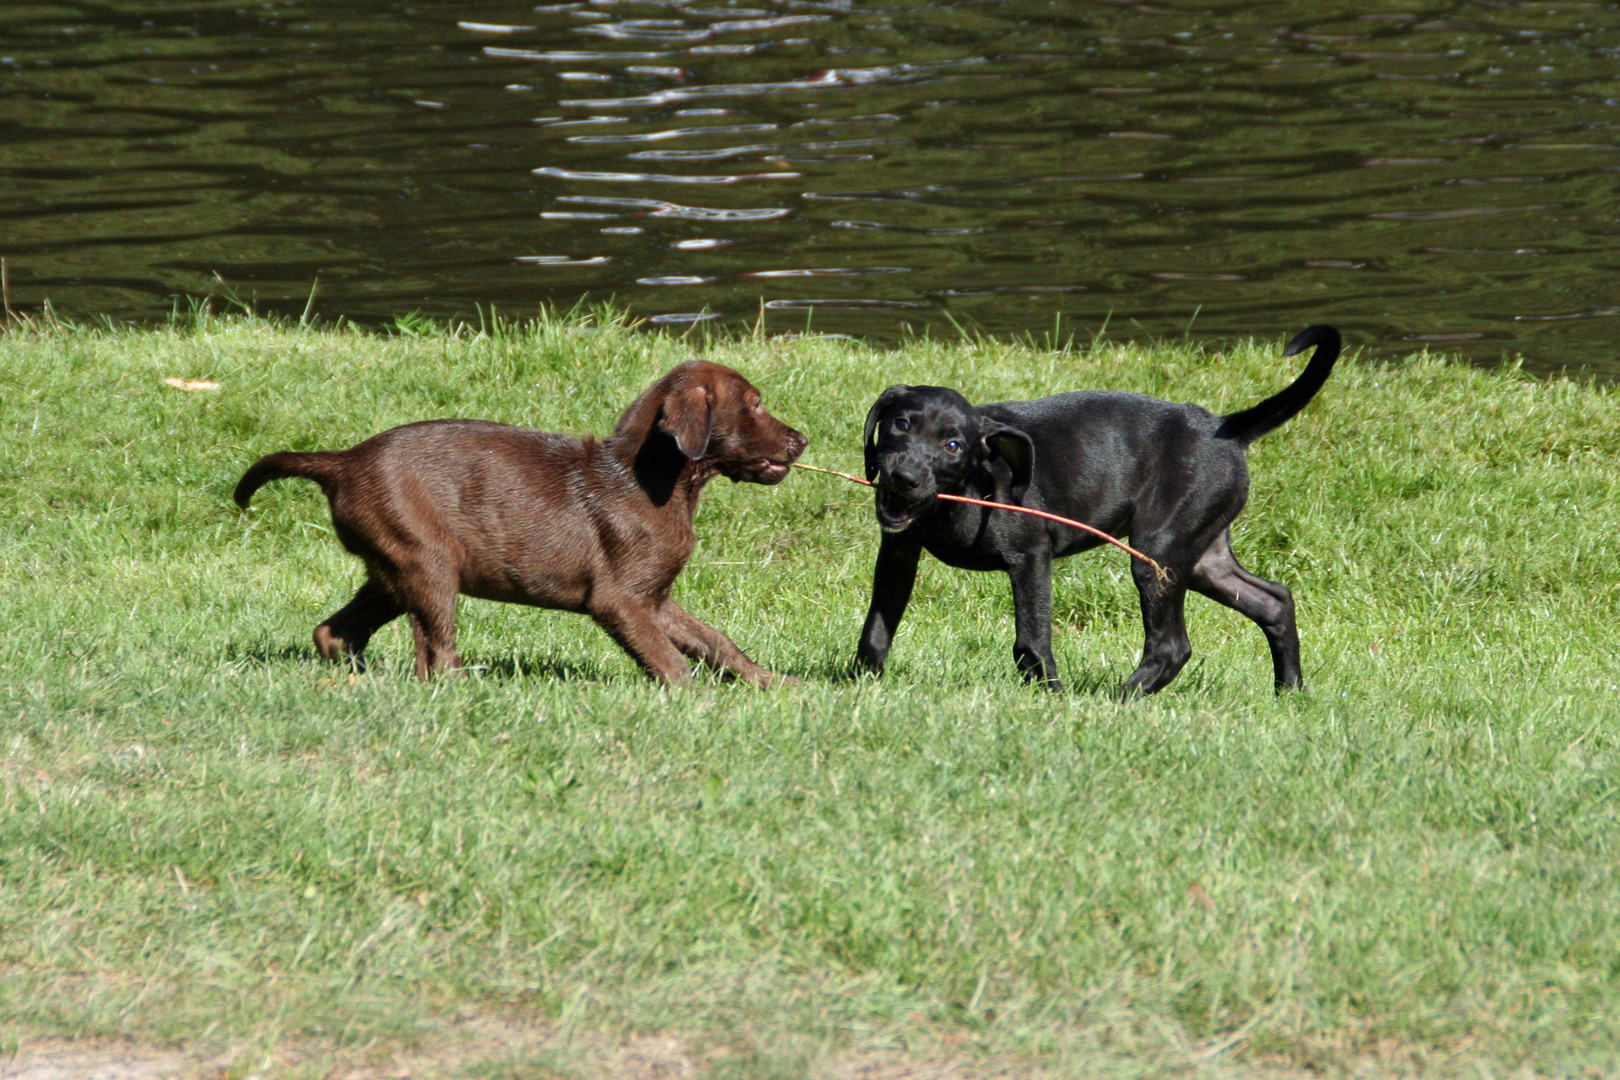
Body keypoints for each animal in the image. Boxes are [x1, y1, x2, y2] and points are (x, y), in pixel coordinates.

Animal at [233, 362, 803, 683]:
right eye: (755, 404)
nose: (802, 439)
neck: (649, 480)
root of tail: (344, 460)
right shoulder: (619, 601)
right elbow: (670, 660)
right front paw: (693, 697)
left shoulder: (655, 598)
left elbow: (716, 641)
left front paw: (773, 683)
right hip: (427, 562)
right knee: (434, 656)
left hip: (392, 571)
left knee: (337, 632)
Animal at [855, 325, 1334, 696]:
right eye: (900, 424)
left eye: (953, 445)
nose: (904, 477)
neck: (964, 489)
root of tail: (1226, 429)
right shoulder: (898, 554)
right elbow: (876, 629)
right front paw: (861, 685)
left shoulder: (1031, 558)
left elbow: (1031, 641)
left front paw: (1050, 696)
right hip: (1201, 556)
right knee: (1274, 601)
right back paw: (1289, 692)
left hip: (1158, 554)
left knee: (1172, 646)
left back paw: (1118, 699)